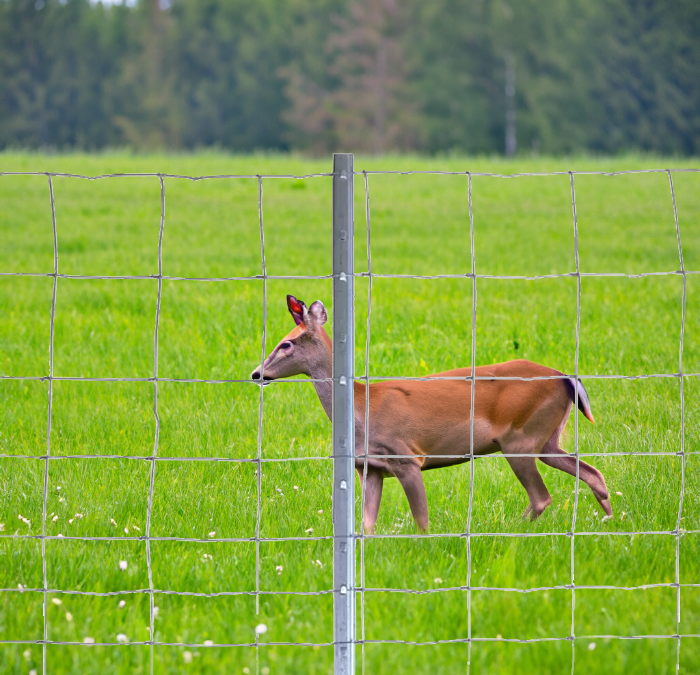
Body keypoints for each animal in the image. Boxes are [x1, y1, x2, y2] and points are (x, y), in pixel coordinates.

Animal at [252, 296, 612, 532]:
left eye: (287, 343)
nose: (257, 373)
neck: (361, 408)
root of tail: (566, 377)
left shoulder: (408, 457)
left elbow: (421, 521)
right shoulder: (369, 467)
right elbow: (367, 525)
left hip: (520, 439)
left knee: (542, 497)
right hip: (546, 438)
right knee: (592, 473)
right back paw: (610, 521)